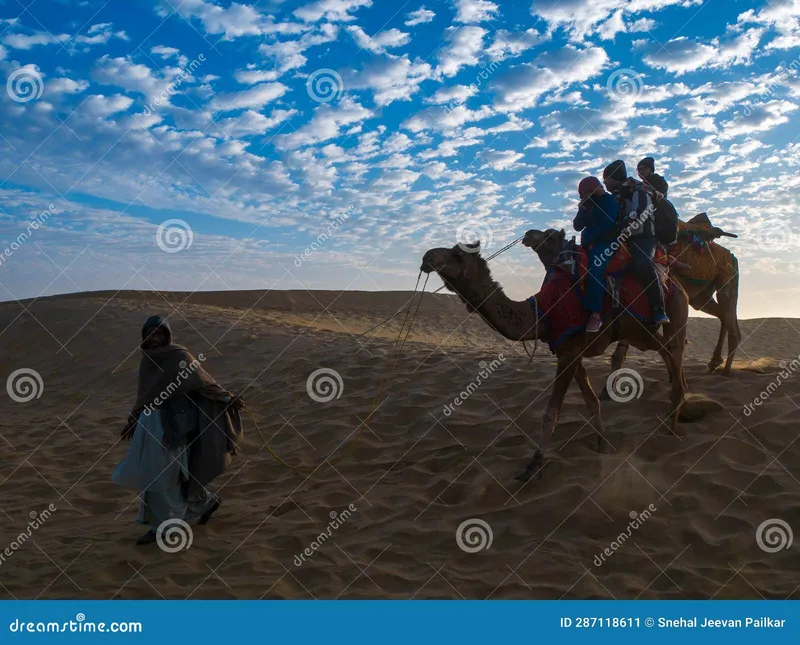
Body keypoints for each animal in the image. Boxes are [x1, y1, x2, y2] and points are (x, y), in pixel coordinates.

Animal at [422, 229, 692, 480]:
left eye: (457, 254)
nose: (427, 256)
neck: (541, 312)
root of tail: (677, 283)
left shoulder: (569, 352)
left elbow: (551, 413)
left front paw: (532, 466)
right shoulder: (570, 351)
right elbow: (592, 403)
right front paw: (601, 445)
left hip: (674, 313)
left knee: (675, 354)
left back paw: (672, 429)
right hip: (641, 334)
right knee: (667, 353)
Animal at [608, 214, 744, 382]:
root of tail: (733, 256)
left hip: (728, 277)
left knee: (732, 321)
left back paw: (726, 371)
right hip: (701, 297)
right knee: (723, 314)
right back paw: (714, 362)